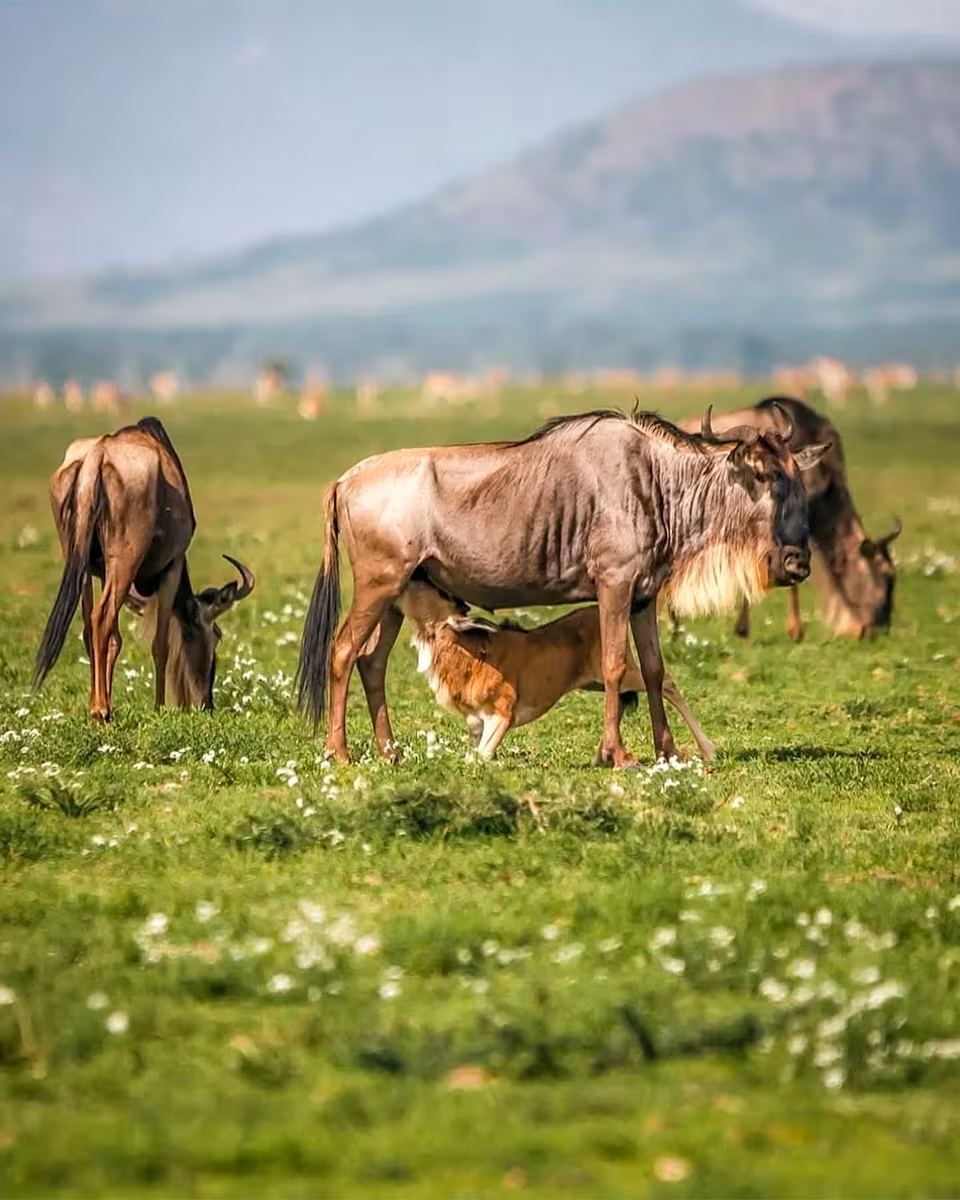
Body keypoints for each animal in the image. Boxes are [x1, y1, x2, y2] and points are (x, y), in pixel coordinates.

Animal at [34, 417, 254, 720]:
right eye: (217, 635)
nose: (207, 703)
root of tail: (98, 454)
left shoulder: (102, 573)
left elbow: (115, 640)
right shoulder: (172, 567)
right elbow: (160, 644)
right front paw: (159, 706)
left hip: (79, 564)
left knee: (92, 626)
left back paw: (99, 705)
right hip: (124, 561)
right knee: (101, 617)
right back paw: (100, 710)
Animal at [396, 580, 716, 762]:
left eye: (438, 591)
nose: (407, 578)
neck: (468, 655)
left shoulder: (502, 715)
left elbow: (481, 756)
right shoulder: (475, 721)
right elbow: (473, 754)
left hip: (625, 673)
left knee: (667, 683)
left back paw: (709, 749)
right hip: (596, 682)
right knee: (621, 700)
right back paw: (602, 754)